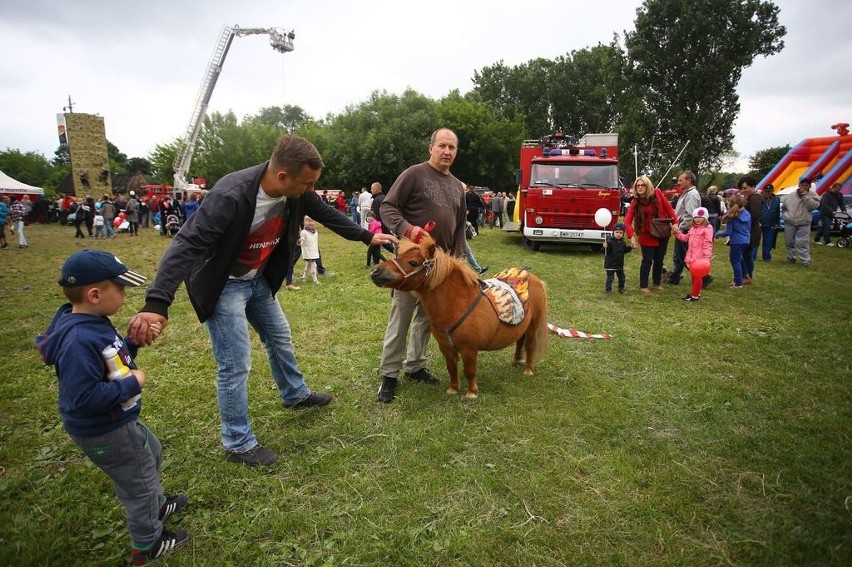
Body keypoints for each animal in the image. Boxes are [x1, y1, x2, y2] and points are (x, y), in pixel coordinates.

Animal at [370, 233, 548, 402]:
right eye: (398, 255)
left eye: (413, 262)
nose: (375, 272)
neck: (458, 305)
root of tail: (532, 277)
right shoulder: (446, 347)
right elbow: (452, 368)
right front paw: (453, 389)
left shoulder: (469, 349)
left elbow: (469, 371)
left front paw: (471, 393)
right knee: (519, 341)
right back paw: (516, 361)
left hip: (533, 325)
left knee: (529, 346)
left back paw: (528, 370)